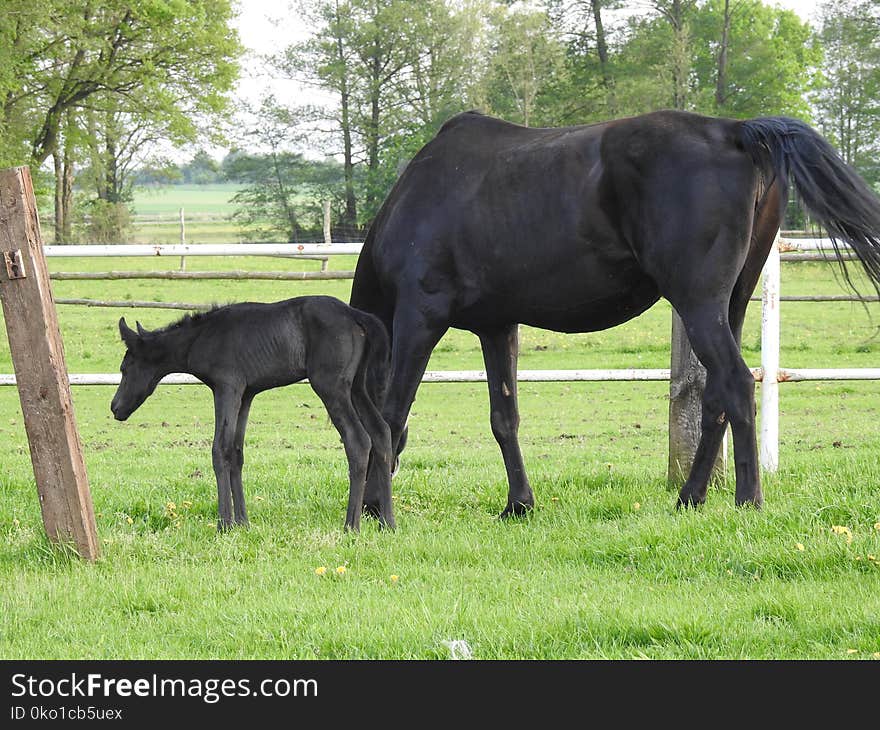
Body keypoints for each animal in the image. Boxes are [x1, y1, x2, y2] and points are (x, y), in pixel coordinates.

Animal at [111, 294, 392, 528]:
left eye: (125, 367)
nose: (115, 407)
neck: (202, 337)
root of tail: (355, 315)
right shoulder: (246, 395)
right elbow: (236, 452)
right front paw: (242, 522)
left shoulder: (227, 387)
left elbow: (220, 449)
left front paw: (224, 524)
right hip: (357, 387)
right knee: (382, 433)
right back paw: (387, 523)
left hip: (331, 386)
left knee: (358, 440)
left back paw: (351, 526)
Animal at [348, 106, 880, 516]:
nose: (361, 503)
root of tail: (735, 130)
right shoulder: (497, 328)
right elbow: (504, 418)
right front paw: (518, 505)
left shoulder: (420, 318)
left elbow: (391, 416)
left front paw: (376, 510)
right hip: (731, 304)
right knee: (715, 397)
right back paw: (690, 497)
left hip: (698, 304)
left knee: (736, 384)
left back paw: (748, 499)